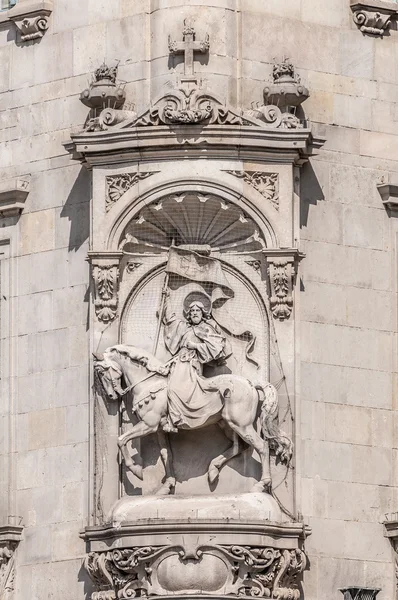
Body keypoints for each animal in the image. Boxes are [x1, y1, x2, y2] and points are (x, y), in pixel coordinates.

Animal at [93, 344, 292, 494]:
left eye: (101, 371)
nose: (111, 396)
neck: (149, 383)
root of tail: (251, 383)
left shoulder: (149, 425)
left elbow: (121, 440)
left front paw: (136, 470)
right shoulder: (159, 429)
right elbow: (166, 454)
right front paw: (167, 487)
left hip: (241, 425)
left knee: (262, 446)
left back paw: (261, 485)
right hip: (227, 424)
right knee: (239, 446)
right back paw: (213, 470)